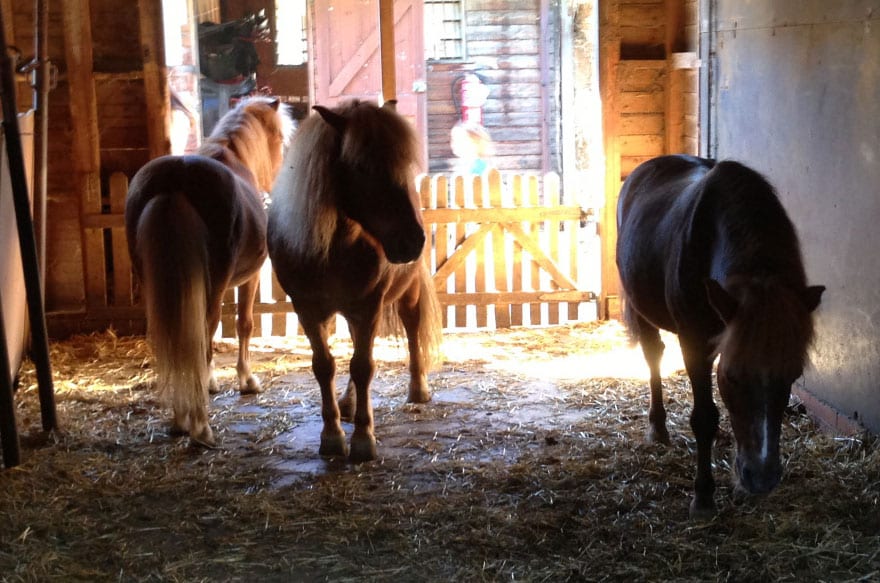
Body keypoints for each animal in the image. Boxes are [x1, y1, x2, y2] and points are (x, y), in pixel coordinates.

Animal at [125, 96, 293, 447]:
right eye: (279, 140)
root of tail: (175, 182)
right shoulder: (248, 279)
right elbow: (243, 325)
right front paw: (246, 380)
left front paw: (212, 381)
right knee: (201, 335)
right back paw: (200, 426)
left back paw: (179, 419)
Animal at [267, 99, 442, 463]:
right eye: (360, 167)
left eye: (403, 162)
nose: (412, 241)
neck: (334, 246)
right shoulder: (308, 309)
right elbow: (325, 366)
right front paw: (332, 436)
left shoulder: (368, 306)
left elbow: (363, 366)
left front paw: (363, 440)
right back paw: (347, 403)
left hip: (407, 294)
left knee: (412, 328)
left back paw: (418, 389)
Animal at [615, 154, 825, 517]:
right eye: (732, 376)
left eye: (793, 374)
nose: (761, 479)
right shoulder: (694, 343)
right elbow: (705, 418)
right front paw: (703, 496)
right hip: (642, 310)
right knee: (653, 354)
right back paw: (657, 427)